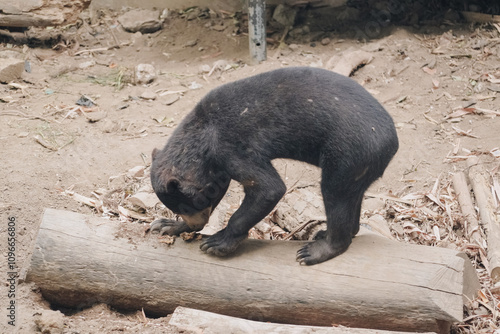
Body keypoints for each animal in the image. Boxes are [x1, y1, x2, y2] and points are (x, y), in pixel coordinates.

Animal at [148, 66, 398, 264]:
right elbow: (221, 188)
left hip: (349, 151)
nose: (198, 223)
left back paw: (316, 250)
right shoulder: (217, 169)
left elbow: (268, 188)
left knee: (335, 193)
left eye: (189, 205)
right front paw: (167, 225)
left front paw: (218, 242)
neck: (200, 134)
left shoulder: (230, 148)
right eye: (180, 209)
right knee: (353, 196)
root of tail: (393, 141)